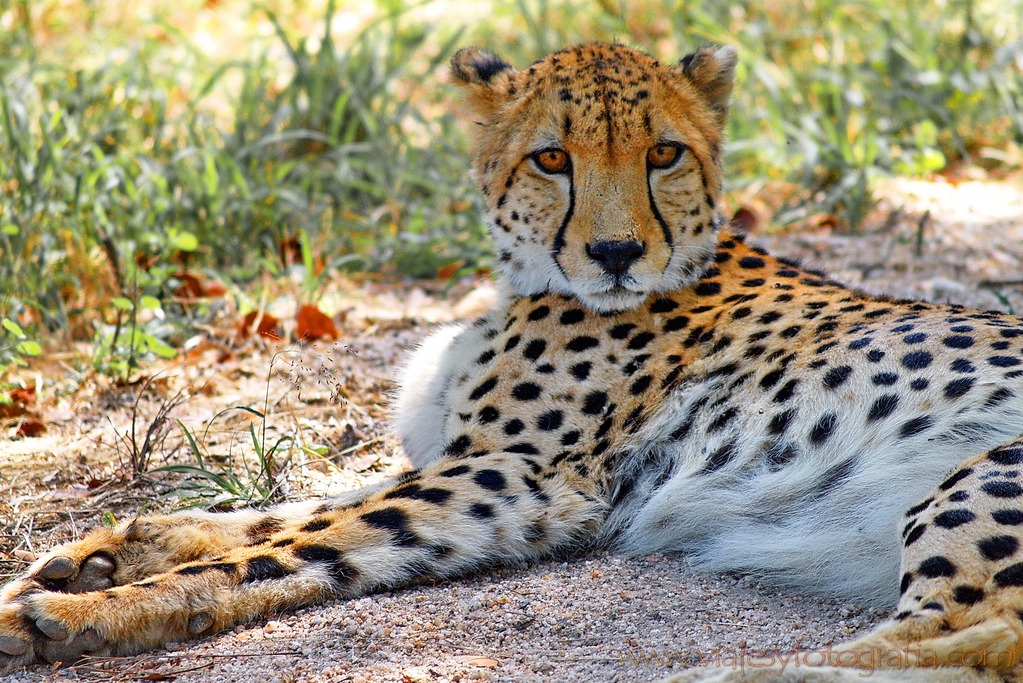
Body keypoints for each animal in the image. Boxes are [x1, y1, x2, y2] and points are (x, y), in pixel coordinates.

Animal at [2, 41, 1023, 683]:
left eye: (663, 152)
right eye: (550, 159)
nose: (615, 253)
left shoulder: (524, 476)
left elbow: (294, 540)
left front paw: (86, 614)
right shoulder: (483, 470)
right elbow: (292, 513)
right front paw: (107, 552)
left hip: (979, 474)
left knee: (974, 638)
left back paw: (717, 674)